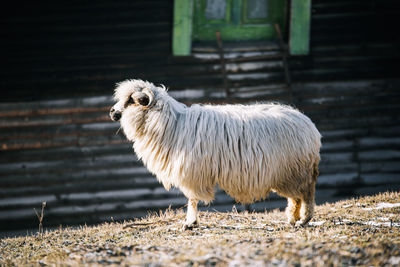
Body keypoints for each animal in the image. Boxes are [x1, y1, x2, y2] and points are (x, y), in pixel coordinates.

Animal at [109, 79, 322, 230]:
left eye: (131, 100)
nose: (112, 112)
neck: (172, 123)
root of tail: (309, 125)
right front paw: (191, 222)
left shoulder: (191, 171)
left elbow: (192, 199)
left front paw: (190, 223)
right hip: (289, 173)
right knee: (295, 197)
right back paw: (292, 218)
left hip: (296, 170)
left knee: (306, 193)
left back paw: (304, 219)